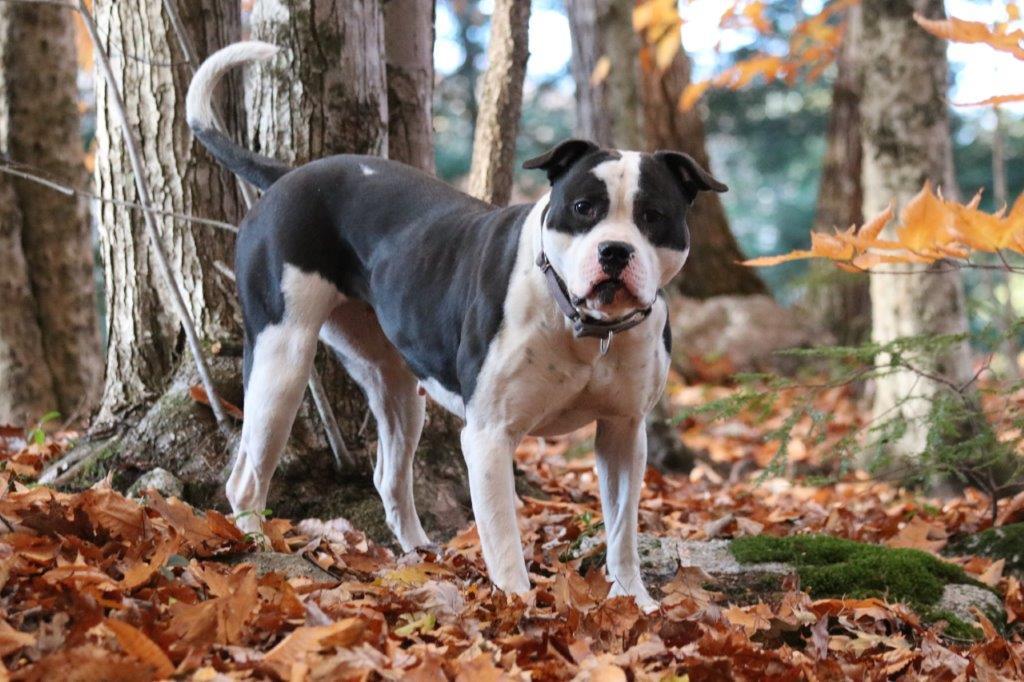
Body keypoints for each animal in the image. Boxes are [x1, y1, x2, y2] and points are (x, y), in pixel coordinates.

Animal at [186, 41, 729, 606]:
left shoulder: (624, 432)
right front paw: (519, 608)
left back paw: (420, 554)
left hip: (397, 386)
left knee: (389, 474)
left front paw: (635, 601)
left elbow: (623, 530)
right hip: (282, 360)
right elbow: (503, 537)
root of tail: (289, 176)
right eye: (583, 207)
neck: (585, 326)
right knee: (247, 476)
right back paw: (256, 549)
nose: (616, 251)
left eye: (653, 216)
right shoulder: (490, 436)